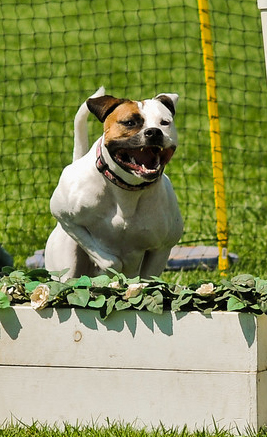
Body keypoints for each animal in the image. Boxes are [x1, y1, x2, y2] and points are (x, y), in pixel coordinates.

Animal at [45, 87, 183, 282]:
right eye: (129, 122)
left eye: (165, 122)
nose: (154, 132)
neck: (127, 190)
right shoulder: (65, 217)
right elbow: (110, 260)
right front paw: (108, 271)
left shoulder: (161, 249)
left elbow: (147, 278)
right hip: (66, 264)